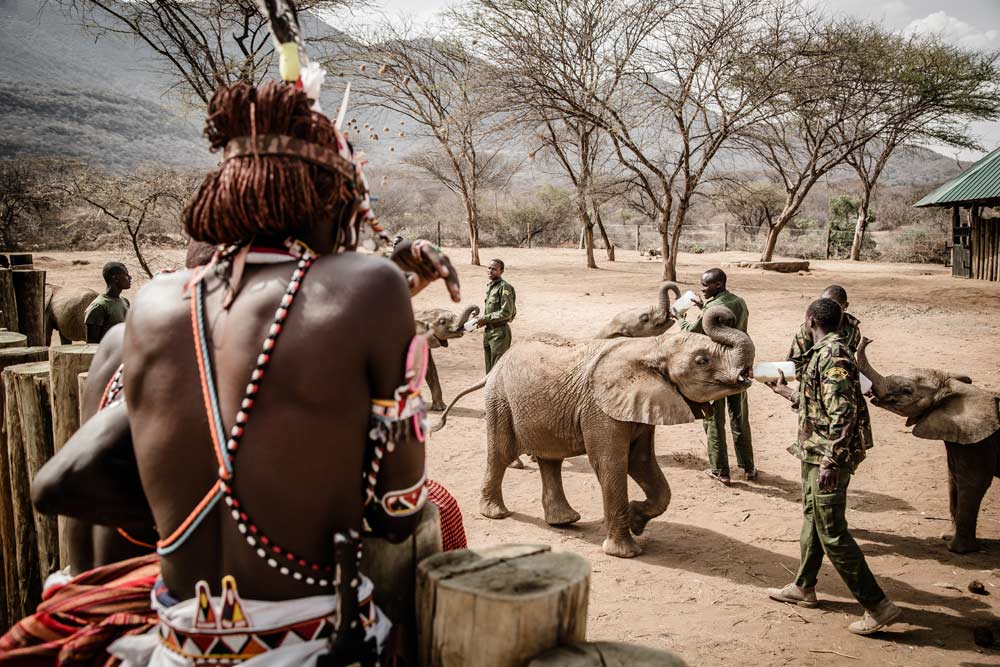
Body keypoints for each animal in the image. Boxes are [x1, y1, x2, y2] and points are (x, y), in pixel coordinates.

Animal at [434, 308, 752, 560]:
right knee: (501, 453)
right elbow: (611, 463)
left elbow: (642, 462)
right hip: (500, 399)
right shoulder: (599, 408)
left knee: (550, 458)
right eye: (702, 361)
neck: (651, 348)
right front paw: (625, 553)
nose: (725, 314)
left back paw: (564, 521)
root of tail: (496, 366)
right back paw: (497, 514)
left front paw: (636, 519)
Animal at [852, 340, 1000, 552]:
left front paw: (958, 550)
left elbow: (973, 481)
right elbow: (953, 478)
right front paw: (947, 537)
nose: (867, 339)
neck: (955, 388)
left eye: (907, 390)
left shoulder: (979, 439)